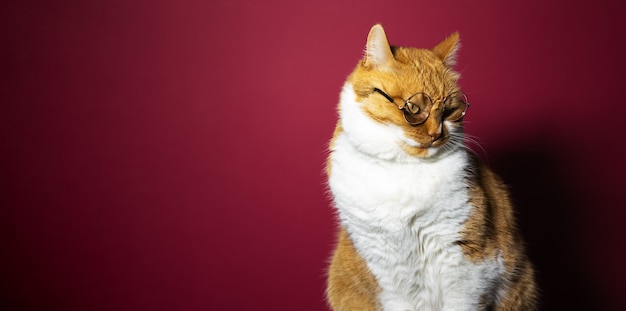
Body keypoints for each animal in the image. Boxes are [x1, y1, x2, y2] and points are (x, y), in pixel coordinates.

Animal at [324, 25, 532, 311]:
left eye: (450, 111)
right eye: (414, 108)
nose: (436, 135)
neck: (402, 168)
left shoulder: (468, 265)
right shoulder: (387, 270)